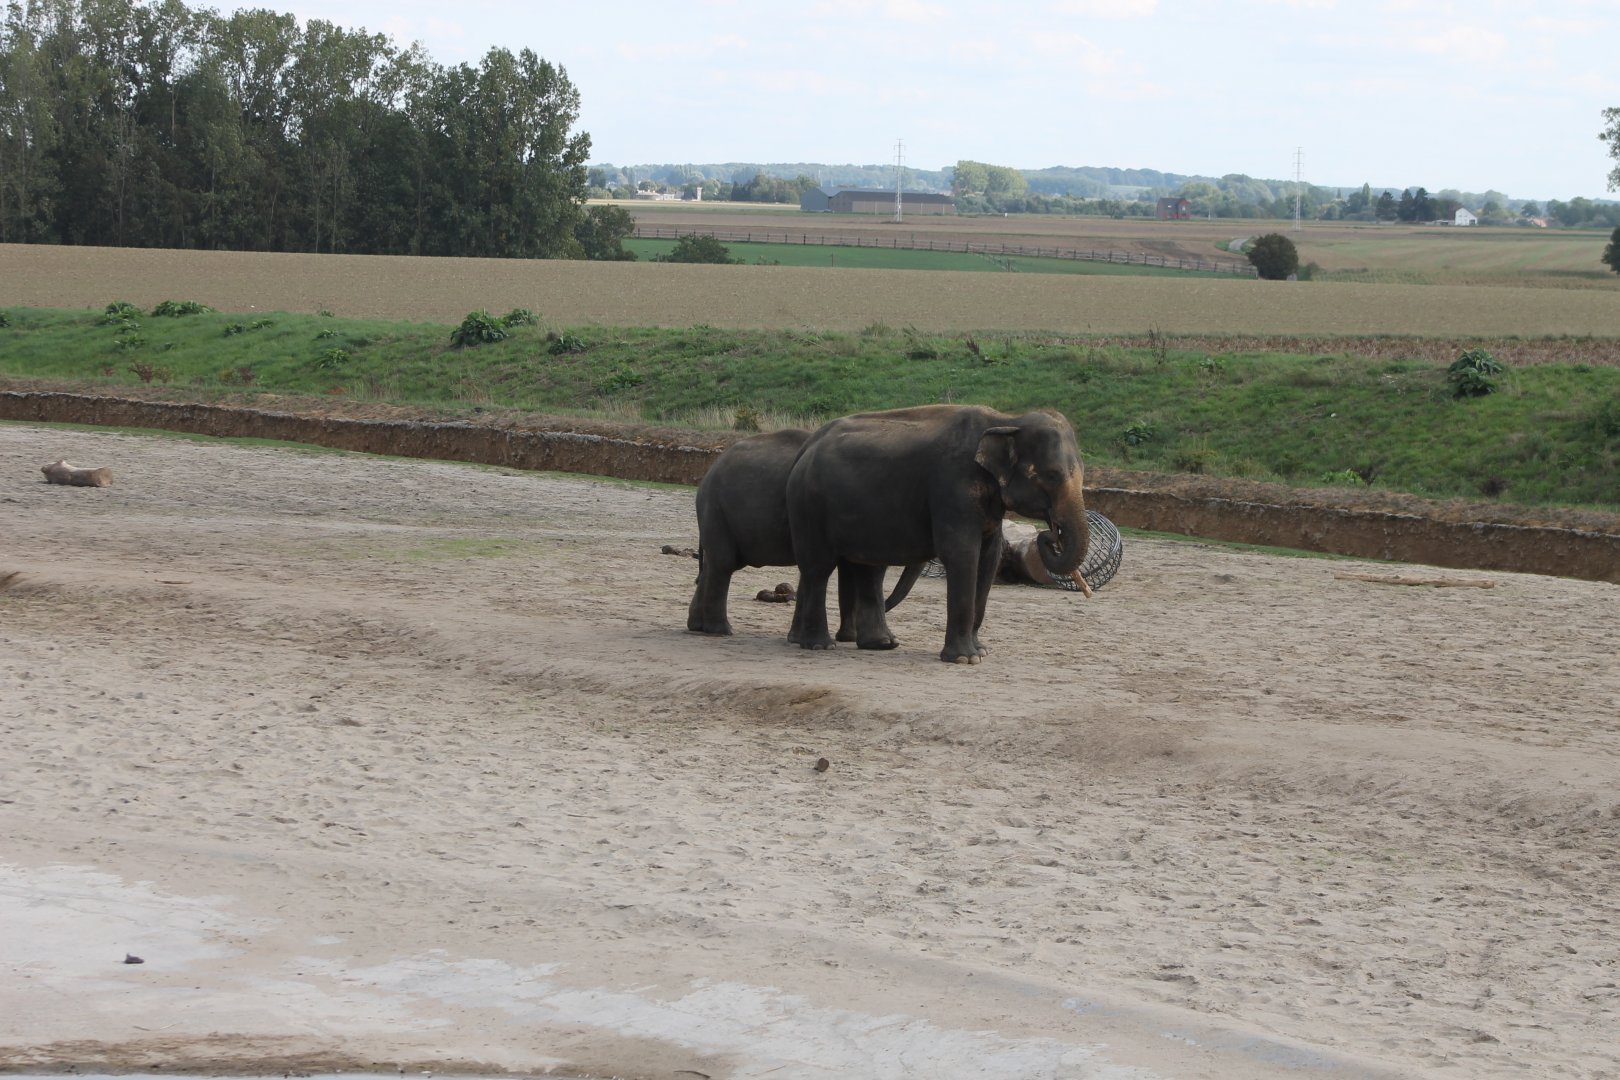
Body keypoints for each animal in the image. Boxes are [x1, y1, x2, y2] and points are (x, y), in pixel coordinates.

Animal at [687, 428, 924, 639]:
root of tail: (709, 471)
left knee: (714, 566)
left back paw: (698, 627)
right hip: (715, 508)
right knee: (723, 563)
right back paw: (721, 631)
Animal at [785, 404, 1089, 663]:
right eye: (1052, 475)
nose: (1049, 535)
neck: (1006, 420)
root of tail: (806, 448)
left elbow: (989, 558)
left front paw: (981, 652)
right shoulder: (953, 486)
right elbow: (962, 553)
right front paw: (964, 659)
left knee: (865, 567)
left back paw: (880, 644)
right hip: (809, 507)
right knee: (818, 568)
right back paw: (818, 644)